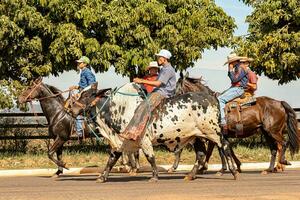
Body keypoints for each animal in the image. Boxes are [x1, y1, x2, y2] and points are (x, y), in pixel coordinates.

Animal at [68, 82, 239, 182]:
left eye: (86, 94)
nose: (69, 108)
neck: (118, 108)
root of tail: (212, 97)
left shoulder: (143, 140)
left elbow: (150, 158)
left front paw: (155, 176)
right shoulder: (120, 143)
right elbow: (111, 160)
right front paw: (102, 177)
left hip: (213, 132)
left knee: (224, 146)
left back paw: (233, 171)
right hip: (195, 136)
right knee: (202, 154)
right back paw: (191, 175)